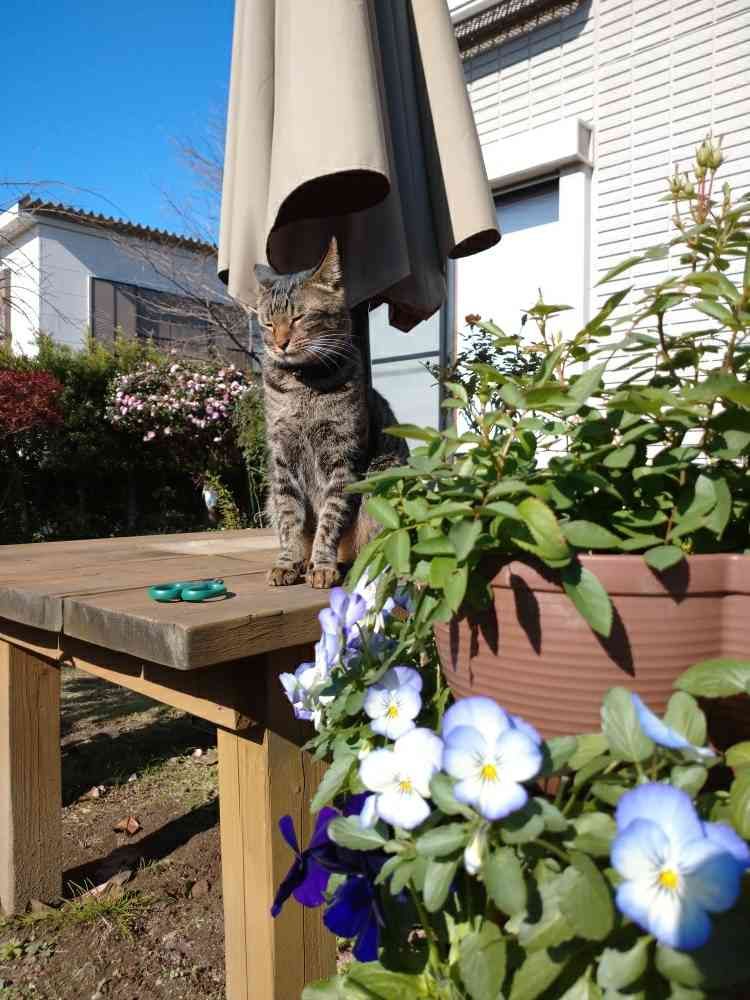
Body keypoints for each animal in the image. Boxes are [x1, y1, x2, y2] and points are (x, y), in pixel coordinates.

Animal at [255, 237, 409, 589]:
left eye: (299, 317)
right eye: (268, 323)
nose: (280, 343)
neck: (303, 385)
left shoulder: (343, 458)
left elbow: (329, 519)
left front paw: (322, 564)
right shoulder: (282, 460)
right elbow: (290, 520)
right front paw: (288, 562)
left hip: (383, 483)